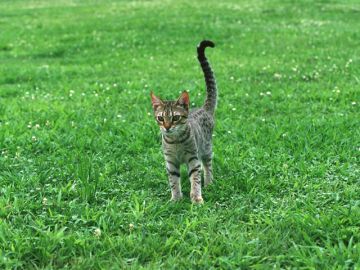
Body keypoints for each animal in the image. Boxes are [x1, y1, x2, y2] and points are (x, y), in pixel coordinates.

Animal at [150, 40, 217, 204]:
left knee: (207, 165)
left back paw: (209, 182)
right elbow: (174, 181)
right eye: (161, 118)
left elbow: (195, 179)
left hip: (206, 148)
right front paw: (176, 199)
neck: (175, 142)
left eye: (175, 118)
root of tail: (204, 108)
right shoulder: (170, 162)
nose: (167, 127)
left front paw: (197, 198)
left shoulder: (193, 158)